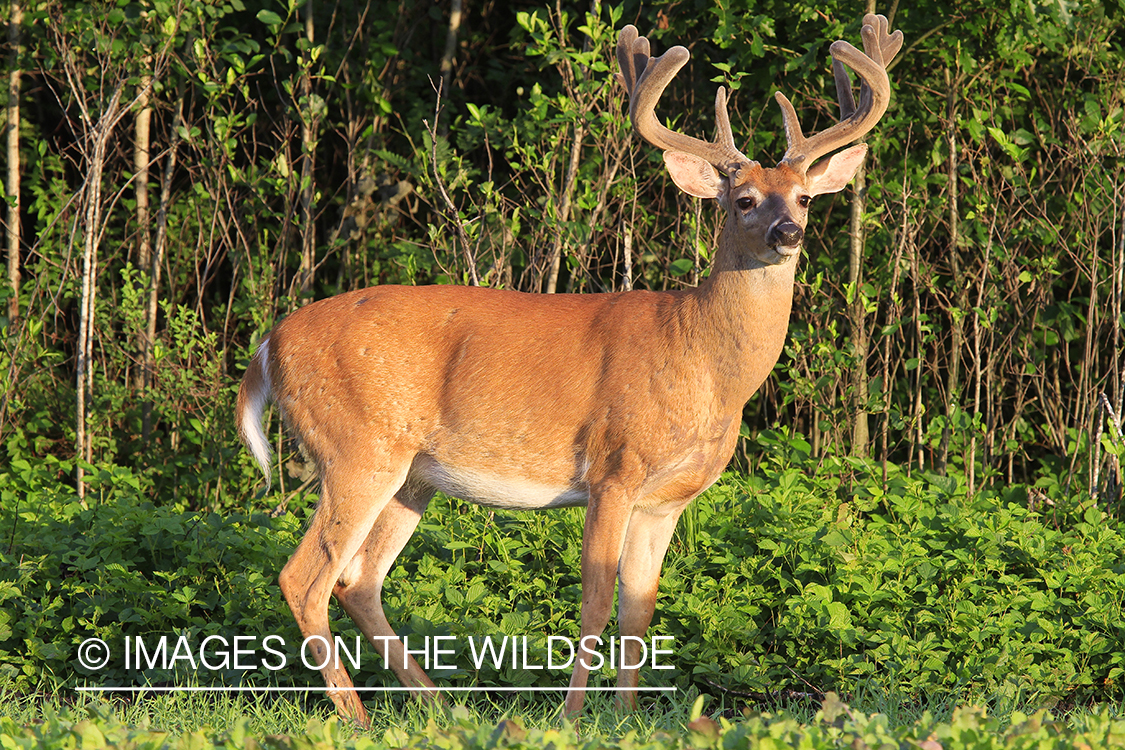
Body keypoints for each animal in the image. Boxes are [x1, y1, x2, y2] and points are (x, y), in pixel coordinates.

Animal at [237, 14, 904, 724]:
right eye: (744, 199)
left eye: (804, 197)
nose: (787, 233)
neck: (700, 357)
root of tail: (269, 345)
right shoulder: (614, 467)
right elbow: (594, 600)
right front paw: (574, 716)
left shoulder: (666, 499)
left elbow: (640, 608)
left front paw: (628, 717)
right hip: (356, 446)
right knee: (305, 577)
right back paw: (358, 717)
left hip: (411, 474)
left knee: (359, 579)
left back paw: (443, 710)